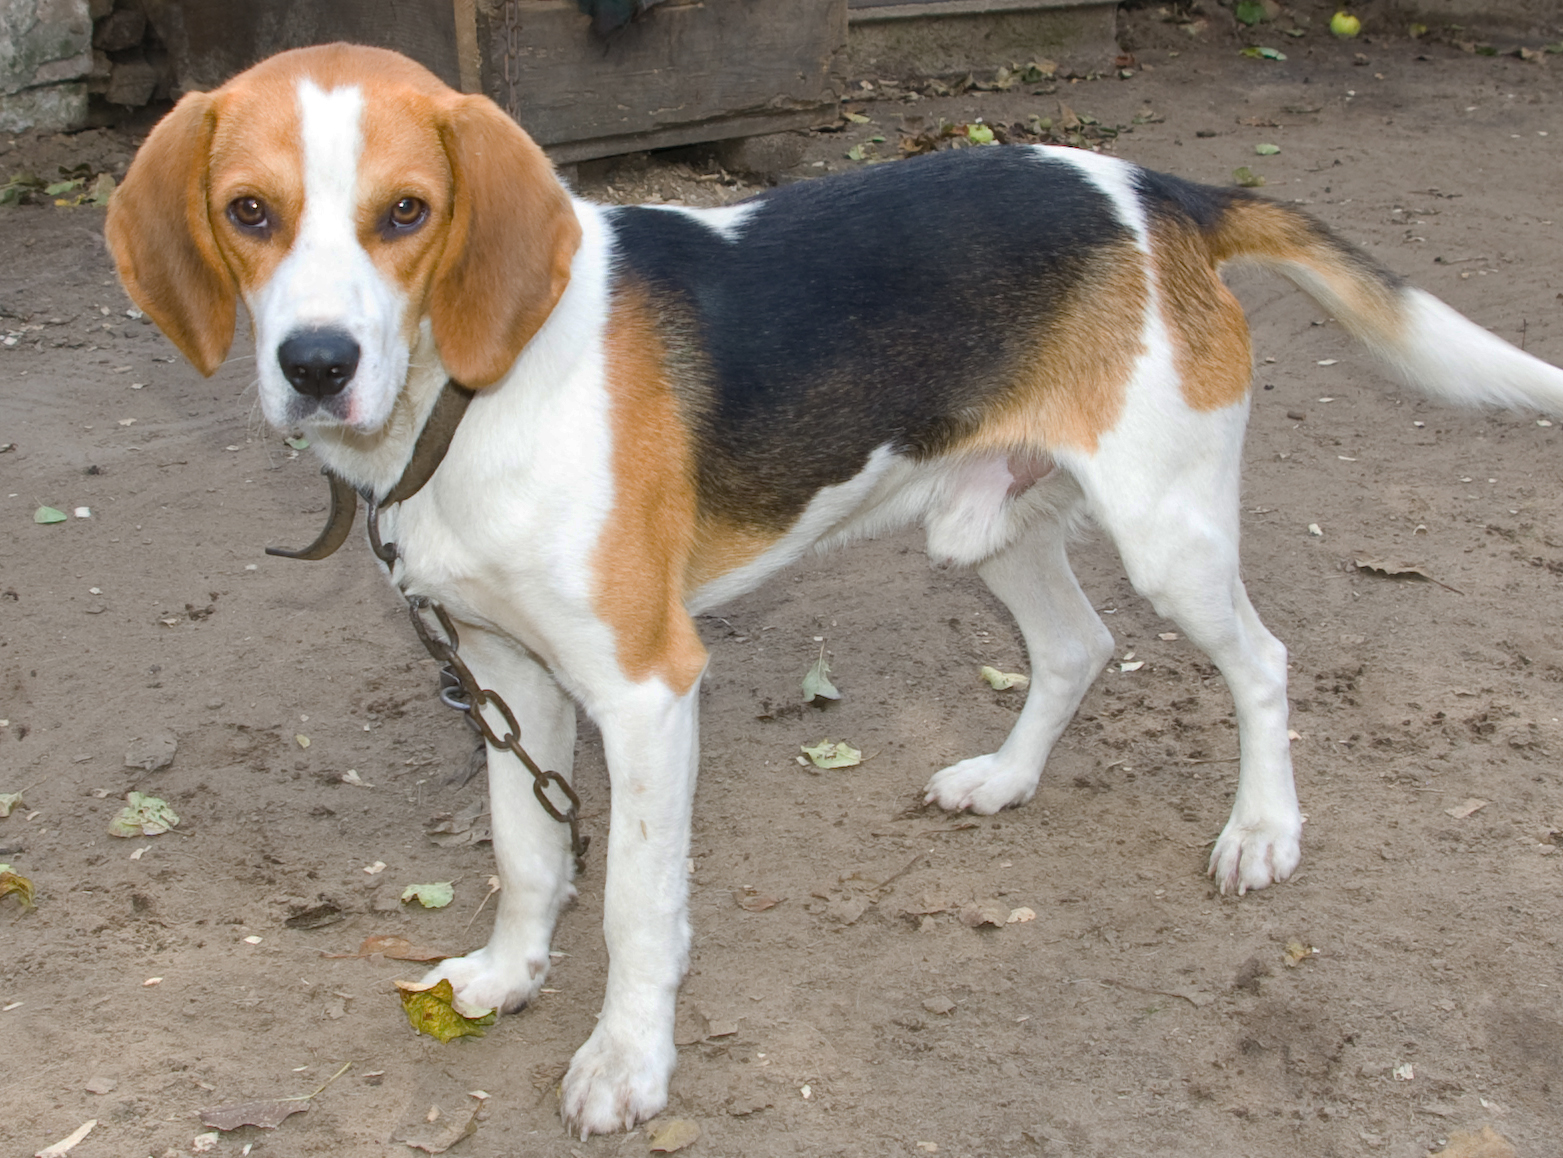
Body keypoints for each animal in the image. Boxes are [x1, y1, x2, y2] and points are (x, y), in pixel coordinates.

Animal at [104, 43, 1563, 1136]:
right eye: (248, 213)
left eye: (405, 213)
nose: (314, 363)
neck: (469, 396)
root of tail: (1161, 190)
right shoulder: (506, 673)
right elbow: (528, 855)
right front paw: (512, 974)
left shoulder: (645, 689)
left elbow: (633, 902)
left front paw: (626, 1061)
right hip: (985, 525)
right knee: (1078, 645)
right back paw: (1004, 778)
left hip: (1169, 531)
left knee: (1259, 662)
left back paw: (1262, 832)